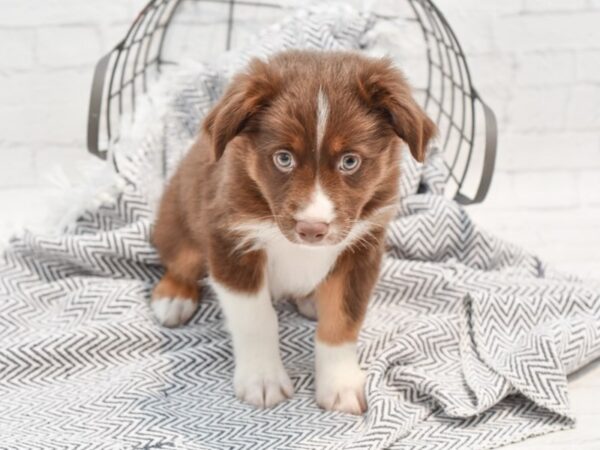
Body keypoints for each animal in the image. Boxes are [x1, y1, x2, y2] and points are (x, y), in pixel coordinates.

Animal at [149, 50, 432, 414]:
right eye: (283, 158)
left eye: (350, 161)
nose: (312, 229)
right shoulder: (231, 240)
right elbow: (256, 320)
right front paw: (262, 380)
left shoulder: (361, 248)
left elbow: (342, 320)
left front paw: (339, 385)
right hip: (179, 218)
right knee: (180, 259)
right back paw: (174, 296)